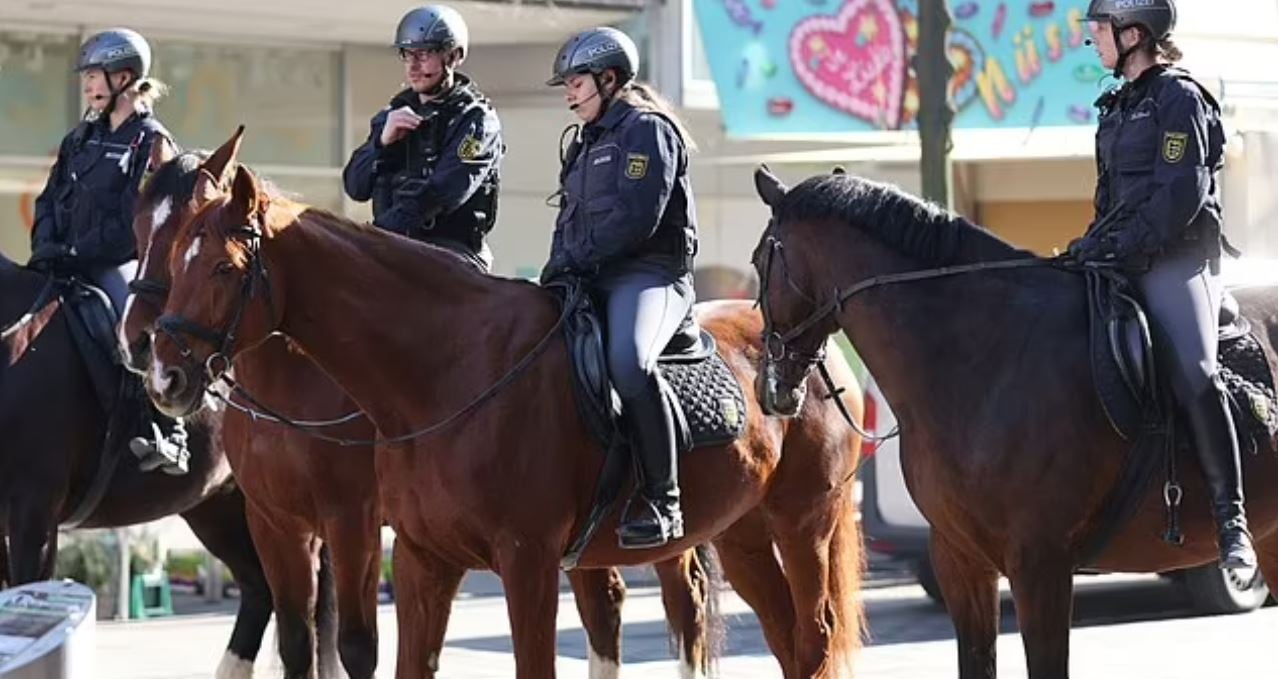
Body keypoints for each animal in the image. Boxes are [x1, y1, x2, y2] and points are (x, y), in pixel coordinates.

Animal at [145, 132, 863, 679]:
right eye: (172, 255)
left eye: (223, 269)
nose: (162, 374)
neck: (444, 371)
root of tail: (816, 352)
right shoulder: (408, 555)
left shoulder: (512, 557)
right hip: (740, 533)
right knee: (774, 636)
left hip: (802, 522)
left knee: (805, 635)